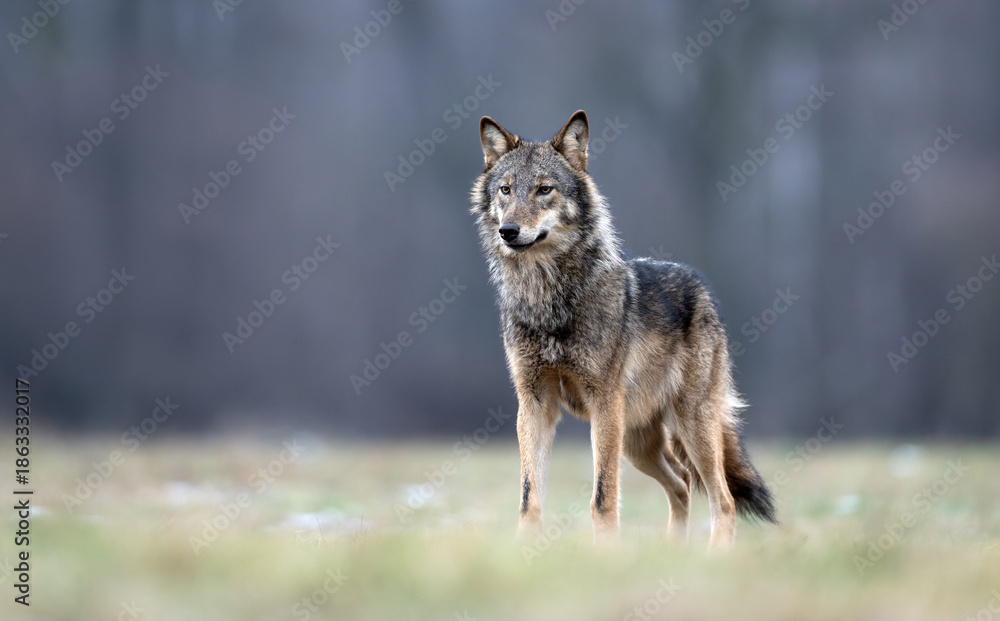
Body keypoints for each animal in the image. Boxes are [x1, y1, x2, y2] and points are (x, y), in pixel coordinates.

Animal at [469, 111, 776, 548]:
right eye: (506, 190)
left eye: (544, 190)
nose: (508, 231)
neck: (548, 297)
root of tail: (702, 286)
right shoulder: (534, 403)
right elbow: (530, 497)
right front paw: (523, 551)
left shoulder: (603, 403)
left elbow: (602, 496)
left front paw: (606, 555)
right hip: (639, 440)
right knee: (682, 484)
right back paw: (672, 553)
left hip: (689, 427)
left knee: (724, 500)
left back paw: (712, 558)